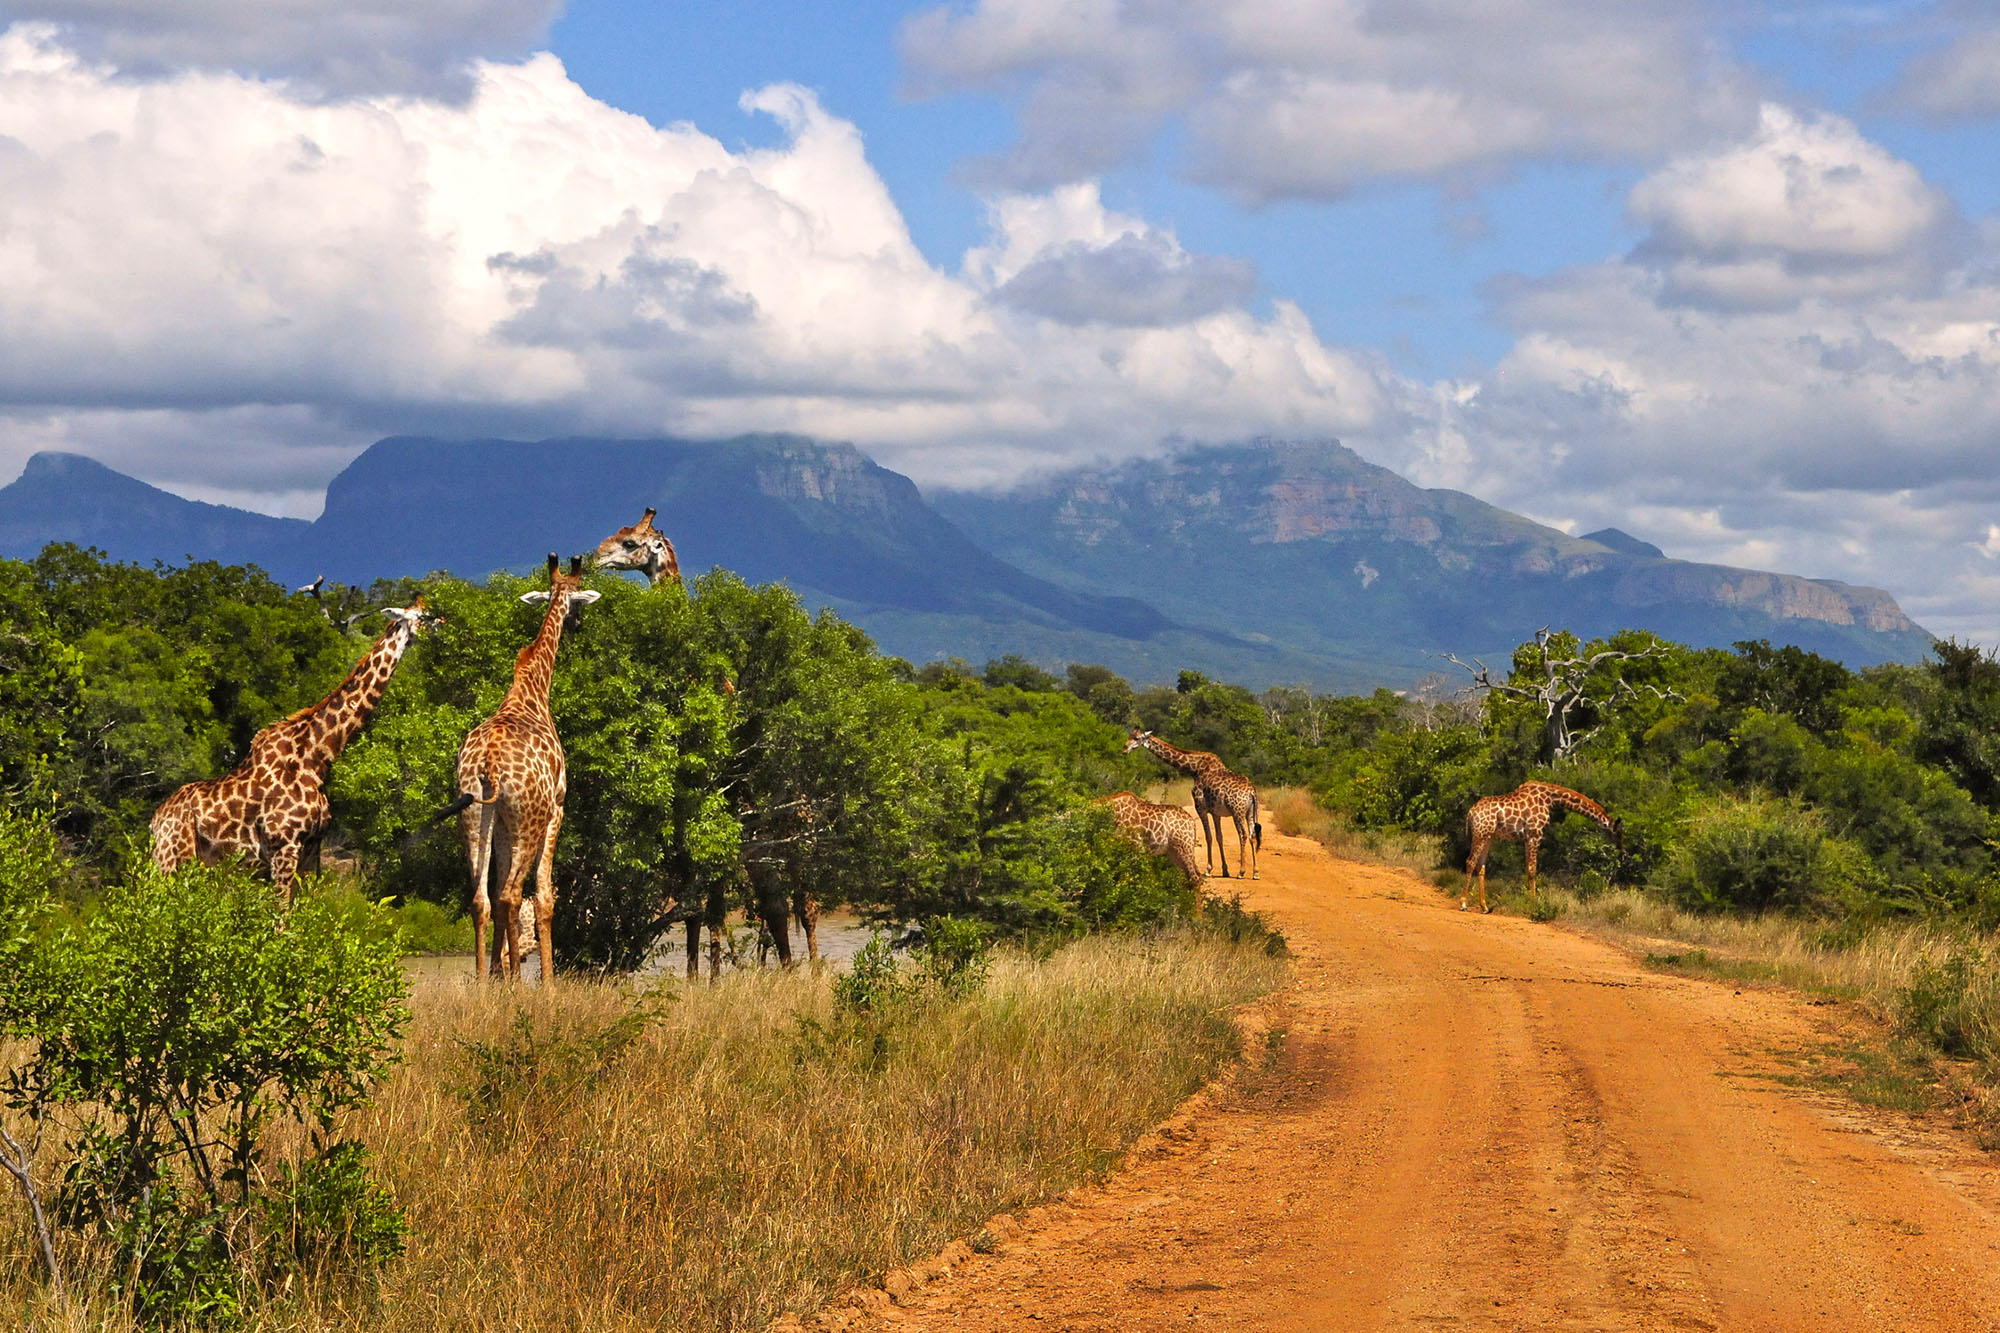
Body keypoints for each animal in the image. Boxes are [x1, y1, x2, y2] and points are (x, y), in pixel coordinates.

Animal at [150, 596, 440, 896]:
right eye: (424, 615)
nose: (441, 625)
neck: (318, 757)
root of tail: (156, 821)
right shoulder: (283, 847)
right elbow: (280, 908)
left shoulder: (312, 851)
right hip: (171, 859)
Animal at [452, 548, 600, 976]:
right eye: (579, 600)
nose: (578, 624)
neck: (532, 690)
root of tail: (488, 763)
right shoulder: (558, 808)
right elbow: (546, 898)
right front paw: (547, 983)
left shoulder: (501, 823)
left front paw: (498, 976)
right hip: (529, 820)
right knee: (512, 895)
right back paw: (521, 983)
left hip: (473, 817)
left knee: (482, 899)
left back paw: (486, 984)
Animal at [1120, 720, 1256, 876]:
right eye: (1130, 735)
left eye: (1137, 738)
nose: (1124, 749)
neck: (1193, 769)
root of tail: (1251, 793)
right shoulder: (1215, 811)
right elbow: (1219, 837)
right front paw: (1225, 870)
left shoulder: (1200, 806)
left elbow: (1208, 836)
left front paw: (1208, 869)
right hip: (1250, 812)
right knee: (1252, 835)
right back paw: (1255, 872)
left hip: (1237, 811)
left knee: (1243, 834)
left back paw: (1241, 871)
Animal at [1472, 772, 1624, 908]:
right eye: (1618, 833)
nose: (1621, 851)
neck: (1550, 798)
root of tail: (1471, 812)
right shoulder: (1535, 833)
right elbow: (1532, 869)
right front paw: (1533, 901)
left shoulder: (1527, 837)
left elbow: (1528, 868)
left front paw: (1528, 897)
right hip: (1481, 835)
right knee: (1471, 862)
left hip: (1487, 837)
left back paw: (1483, 905)